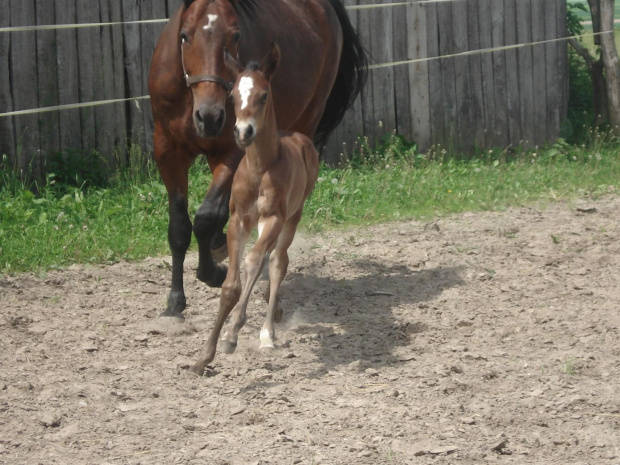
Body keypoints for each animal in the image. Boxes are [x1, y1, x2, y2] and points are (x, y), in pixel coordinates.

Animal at [191, 44, 320, 376]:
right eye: (233, 95)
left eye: (263, 96)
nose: (243, 132)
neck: (260, 167)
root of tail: (300, 137)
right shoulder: (240, 220)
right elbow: (230, 284)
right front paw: (205, 355)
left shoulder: (273, 218)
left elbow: (253, 262)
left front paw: (233, 335)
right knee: (269, 260)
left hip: (292, 217)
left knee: (276, 262)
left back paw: (267, 334)